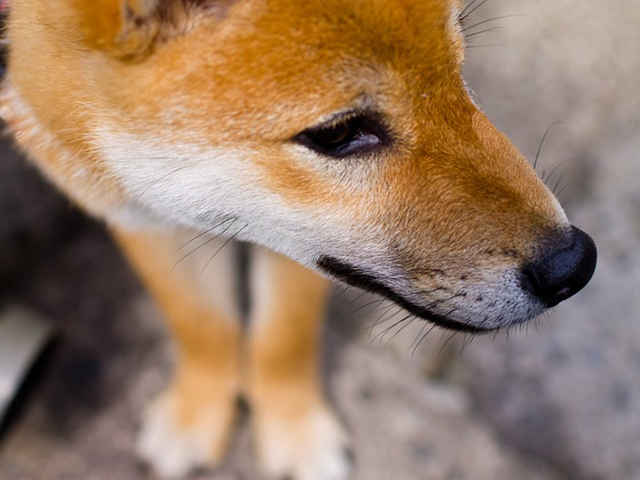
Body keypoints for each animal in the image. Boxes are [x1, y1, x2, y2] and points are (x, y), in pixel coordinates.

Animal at [2, 0, 596, 478]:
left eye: (458, 62)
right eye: (338, 132)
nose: (574, 264)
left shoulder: (295, 244)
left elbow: (284, 338)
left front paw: (294, 432)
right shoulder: (136, 213)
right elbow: (201, 325)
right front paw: (198, 412)